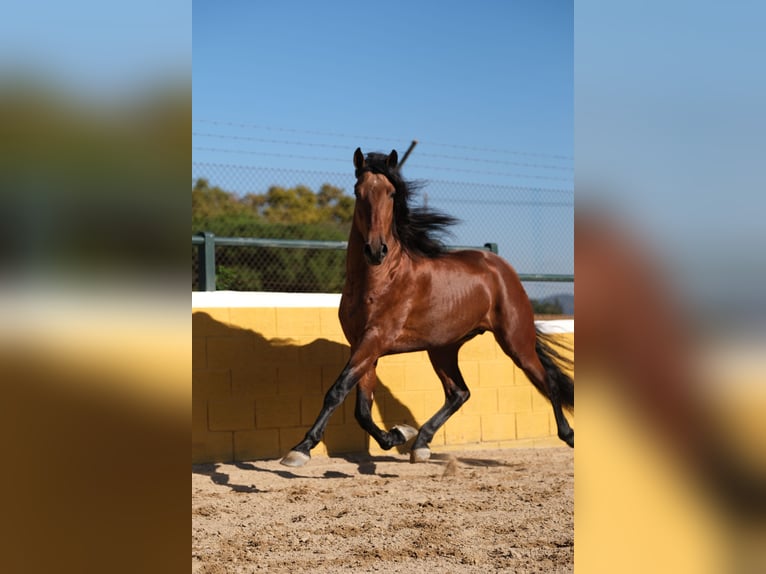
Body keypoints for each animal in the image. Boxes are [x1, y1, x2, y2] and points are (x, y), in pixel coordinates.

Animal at [282, 147, 576, 468]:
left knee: (548, 382)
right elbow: (362, 408)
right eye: (358, 192)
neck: (380, 278)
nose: (376, 250)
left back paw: (569, 436)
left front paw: (300, 449)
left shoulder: (375, 339)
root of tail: (500, 267)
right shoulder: (362, 345)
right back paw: (420, 443)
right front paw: (397, 435)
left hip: (516, 342)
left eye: (391, 193)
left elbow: (338, 391)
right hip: (443, 348)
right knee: (459, 393)